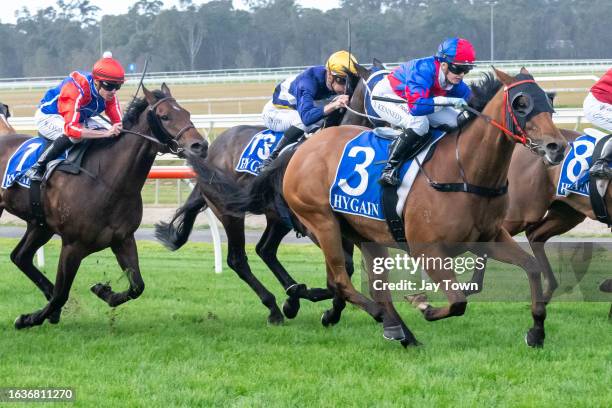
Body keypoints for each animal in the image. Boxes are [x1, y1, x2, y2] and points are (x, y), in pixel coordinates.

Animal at [0, 83, 208, 328]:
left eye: (187, 113)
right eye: (164, 116)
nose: (200, 145)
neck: (108, 181)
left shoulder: (123, 239)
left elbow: (137, 286)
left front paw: (104, 291)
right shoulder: (72, 245)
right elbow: (62, 293)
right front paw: (28, 318)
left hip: (40, 224)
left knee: (20, 256)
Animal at [240, 67, 568, 348]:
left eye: (549, 101)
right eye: (521, 103)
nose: (557, 147)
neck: (465, 171)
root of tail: (299, 151)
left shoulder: (488, 238)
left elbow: (531, 267)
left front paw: (536, 331)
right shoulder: (427, 250)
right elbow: (458, 302)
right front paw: (423, 305)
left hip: (364, 234)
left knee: (373, 287)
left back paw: (400, 332)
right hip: (322, 224)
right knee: (343, 281)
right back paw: (386, 323)